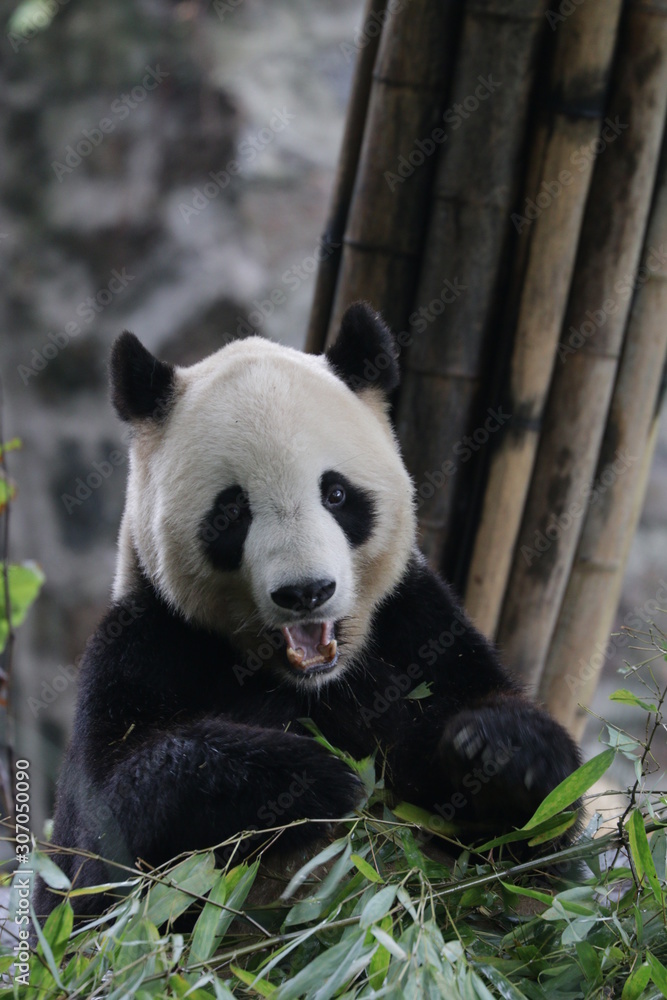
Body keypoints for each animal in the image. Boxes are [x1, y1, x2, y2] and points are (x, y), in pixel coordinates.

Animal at [34, 306, 580, 920]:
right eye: (232, 512)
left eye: (336, 494)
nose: (306, 592)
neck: (310, 679)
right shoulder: (145, 641)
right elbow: (96, 850)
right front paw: (310, 778)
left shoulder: (418, 625)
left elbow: (535, 844)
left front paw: (499, 751)